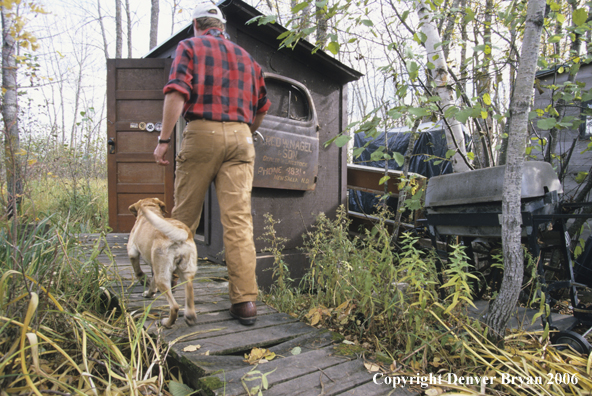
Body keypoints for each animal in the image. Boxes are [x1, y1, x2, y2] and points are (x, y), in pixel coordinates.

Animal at [127, 198, 199, 328]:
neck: (150, 208)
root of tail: (181, 234)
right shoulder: (155, 267)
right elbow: (152, 282)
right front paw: (149, 292)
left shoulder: (132, 251)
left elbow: (138, 272)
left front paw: (145, 283)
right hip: (185, 272)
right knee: (189, 294)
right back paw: (190, 317)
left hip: (163, 276)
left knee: (174, 307)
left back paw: (167, 322)